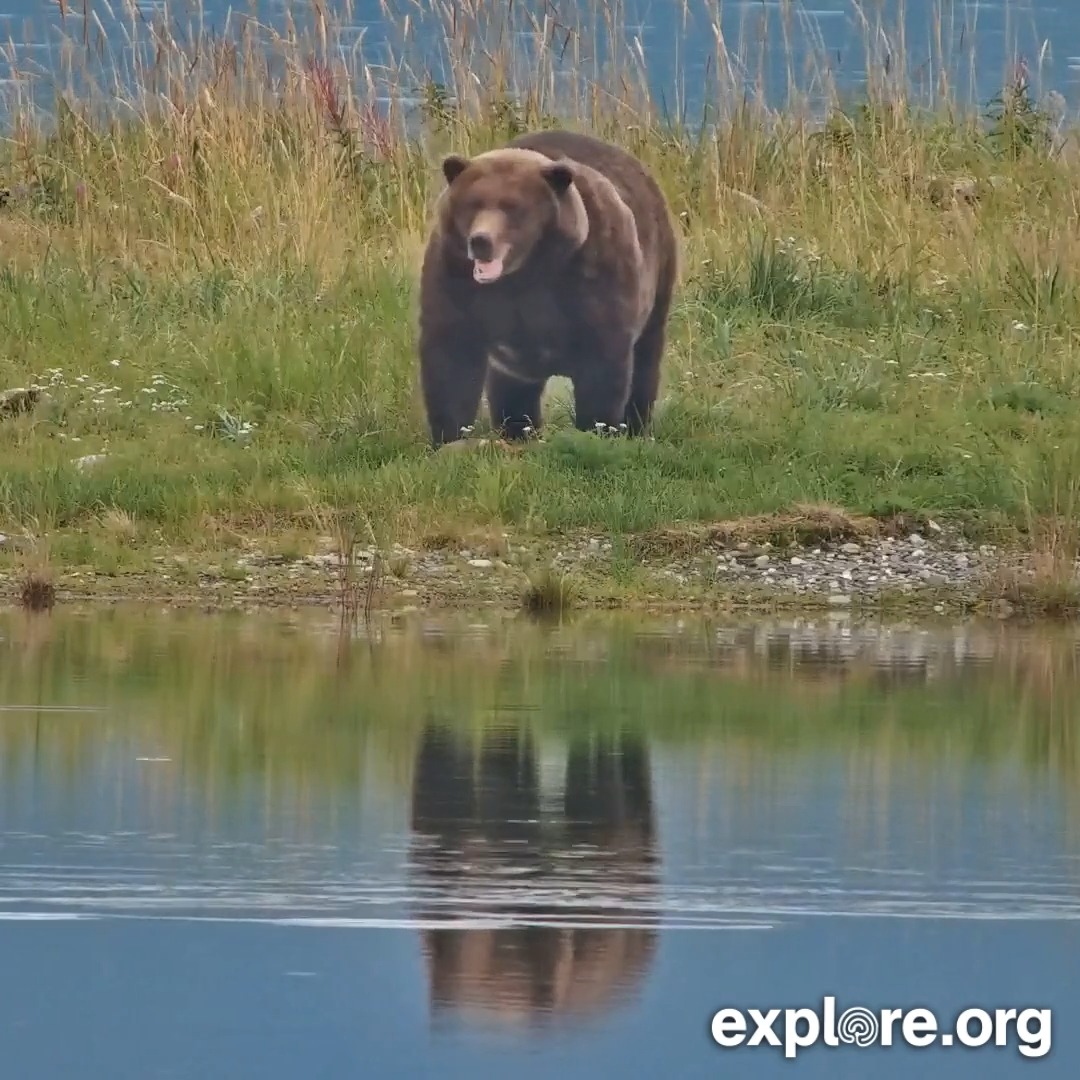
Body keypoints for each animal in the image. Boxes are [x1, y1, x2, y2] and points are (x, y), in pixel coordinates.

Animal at [416, 128, 679, 448]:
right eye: (473, 203)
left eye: (512, 207)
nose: (480, 241)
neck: (526, 273)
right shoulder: (457, 277)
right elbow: (452, 354)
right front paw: (451, 437)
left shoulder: (591, 273)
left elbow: (602, 359)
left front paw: (596, 429)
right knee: (512, 386)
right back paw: (518, 430)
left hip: (658, 271)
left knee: (645, 358)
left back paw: (636, 425)